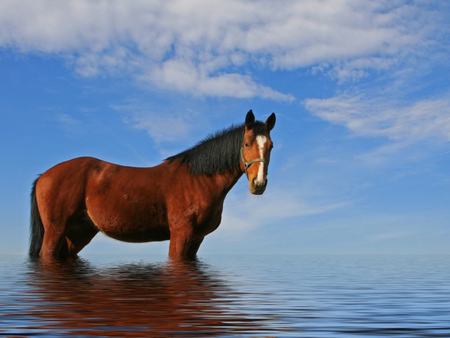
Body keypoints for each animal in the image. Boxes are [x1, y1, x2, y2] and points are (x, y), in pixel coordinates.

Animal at [29, 111, 276, 262]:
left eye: (271, 146)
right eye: (246, 144)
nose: (258, 184)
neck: (198, 180)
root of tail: (44, 176)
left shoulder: (197, 238)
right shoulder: (181, 234)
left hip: (78, 233)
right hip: (55, 230)